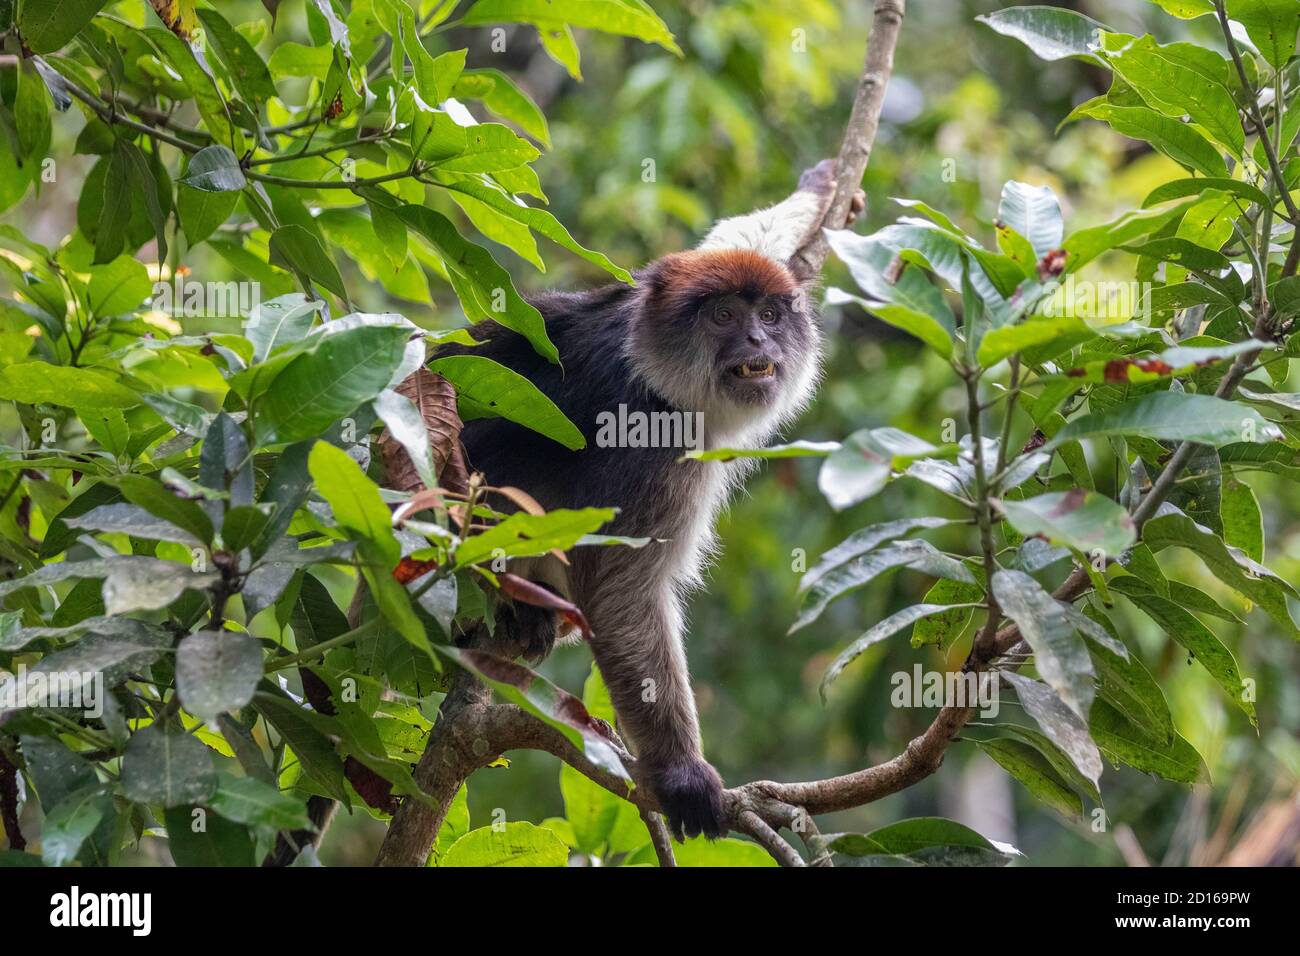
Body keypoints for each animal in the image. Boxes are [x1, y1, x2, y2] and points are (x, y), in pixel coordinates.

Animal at [441, 160, 868, 842]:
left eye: (771, 315)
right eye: (723, 316)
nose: (758, 342)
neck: (652, 365)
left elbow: (742, 236)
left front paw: (822, 188)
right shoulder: (651, 444)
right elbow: (621, 590)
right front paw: (681, 775)